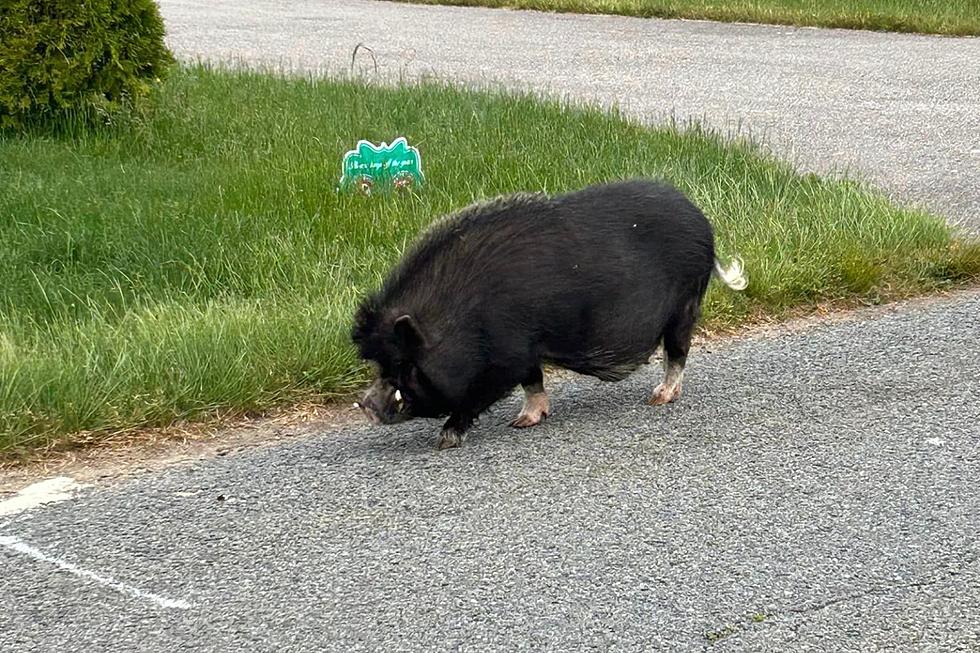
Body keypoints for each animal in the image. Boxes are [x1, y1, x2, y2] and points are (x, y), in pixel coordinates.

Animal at [356, 181, 748, 450]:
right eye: (381, 364)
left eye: (405, 364)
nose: (365, 405)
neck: (461, 320)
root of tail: (704, 226)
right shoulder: (526, 351)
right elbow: (533, 381)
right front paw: (523, 422)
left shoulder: (507, 357)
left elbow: (484, 394)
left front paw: (446, 440)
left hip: (685, 304)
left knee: (677, 352)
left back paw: (659, 397)